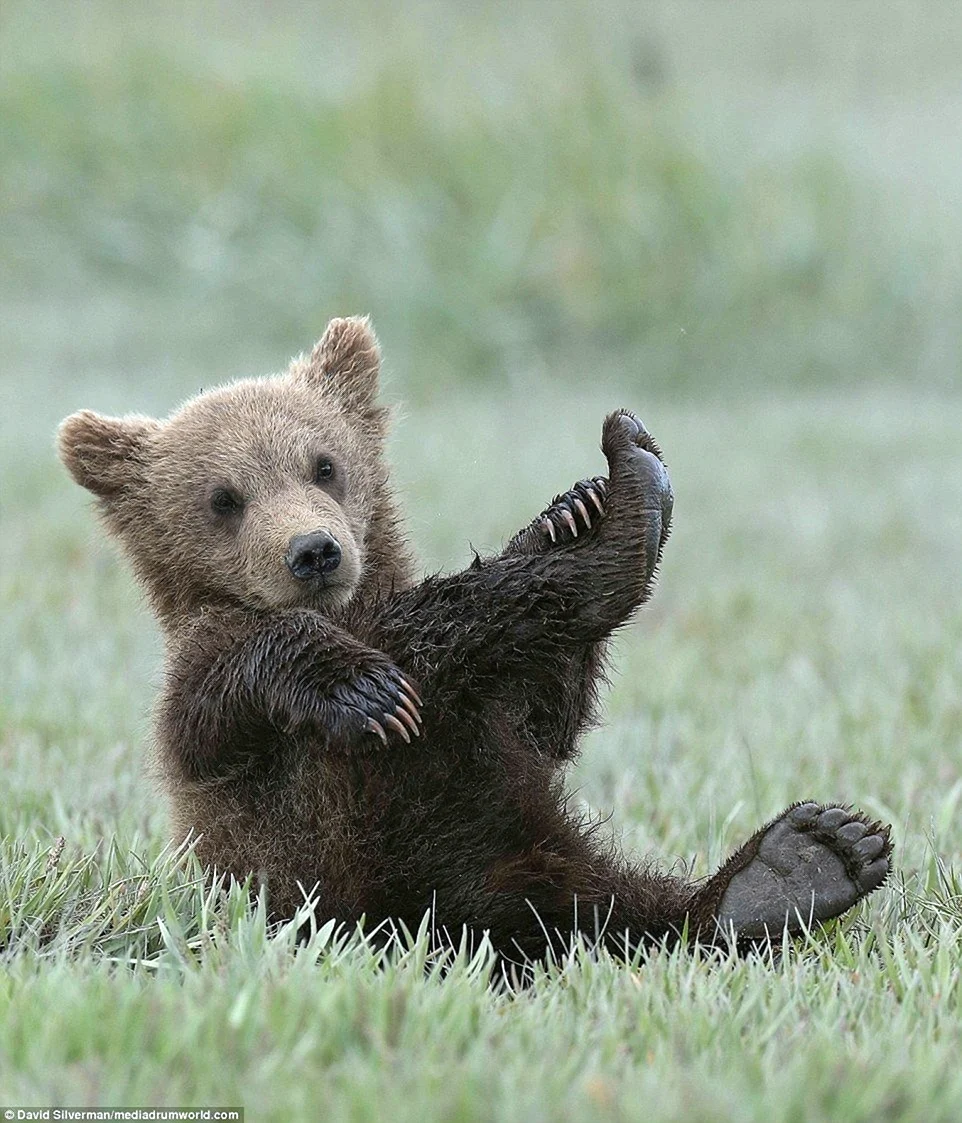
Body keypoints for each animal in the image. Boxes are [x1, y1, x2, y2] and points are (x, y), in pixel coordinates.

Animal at [58, 316, 892, 968]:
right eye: (223, 498)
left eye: (324, 464)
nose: (314, 551)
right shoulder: (207, 708)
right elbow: (224, 689)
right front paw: (365, 689)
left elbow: (546, 720)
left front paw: (567, 508)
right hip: (326, 852)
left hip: (519, 853)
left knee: (618, 909)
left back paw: (803, 861)